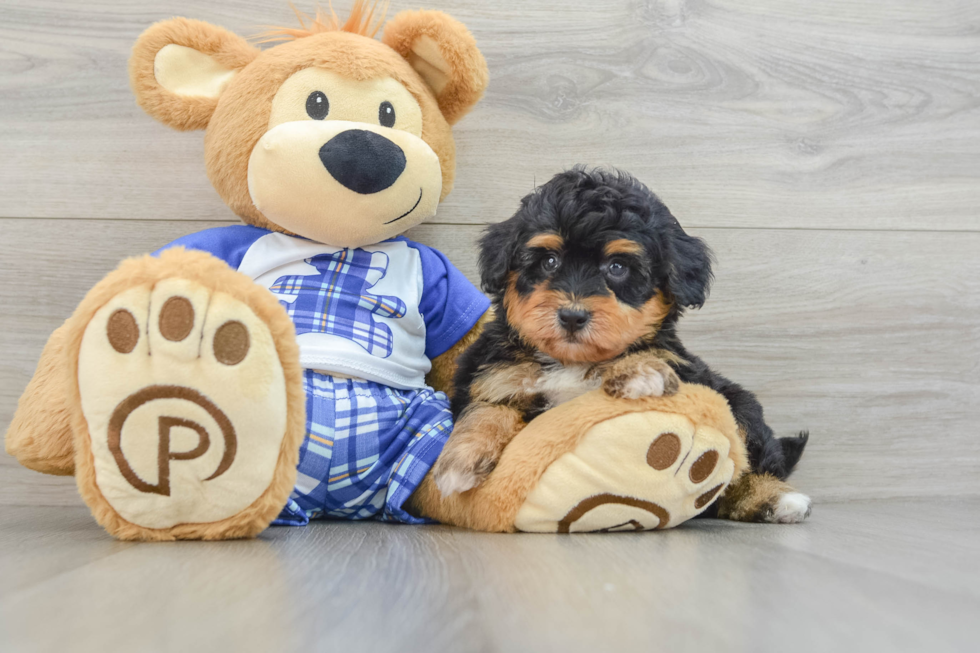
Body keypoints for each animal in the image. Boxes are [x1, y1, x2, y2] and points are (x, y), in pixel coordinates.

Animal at [434, 168, 812, 524]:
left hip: (738, 404)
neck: (569, 362)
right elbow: (486, 409)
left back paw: (775, 499)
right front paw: (461, 459)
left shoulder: (683, 370)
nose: (572, 316)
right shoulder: (493, 377)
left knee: (742, 464)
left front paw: (639, 373)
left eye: (617, 267)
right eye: (549, 261)